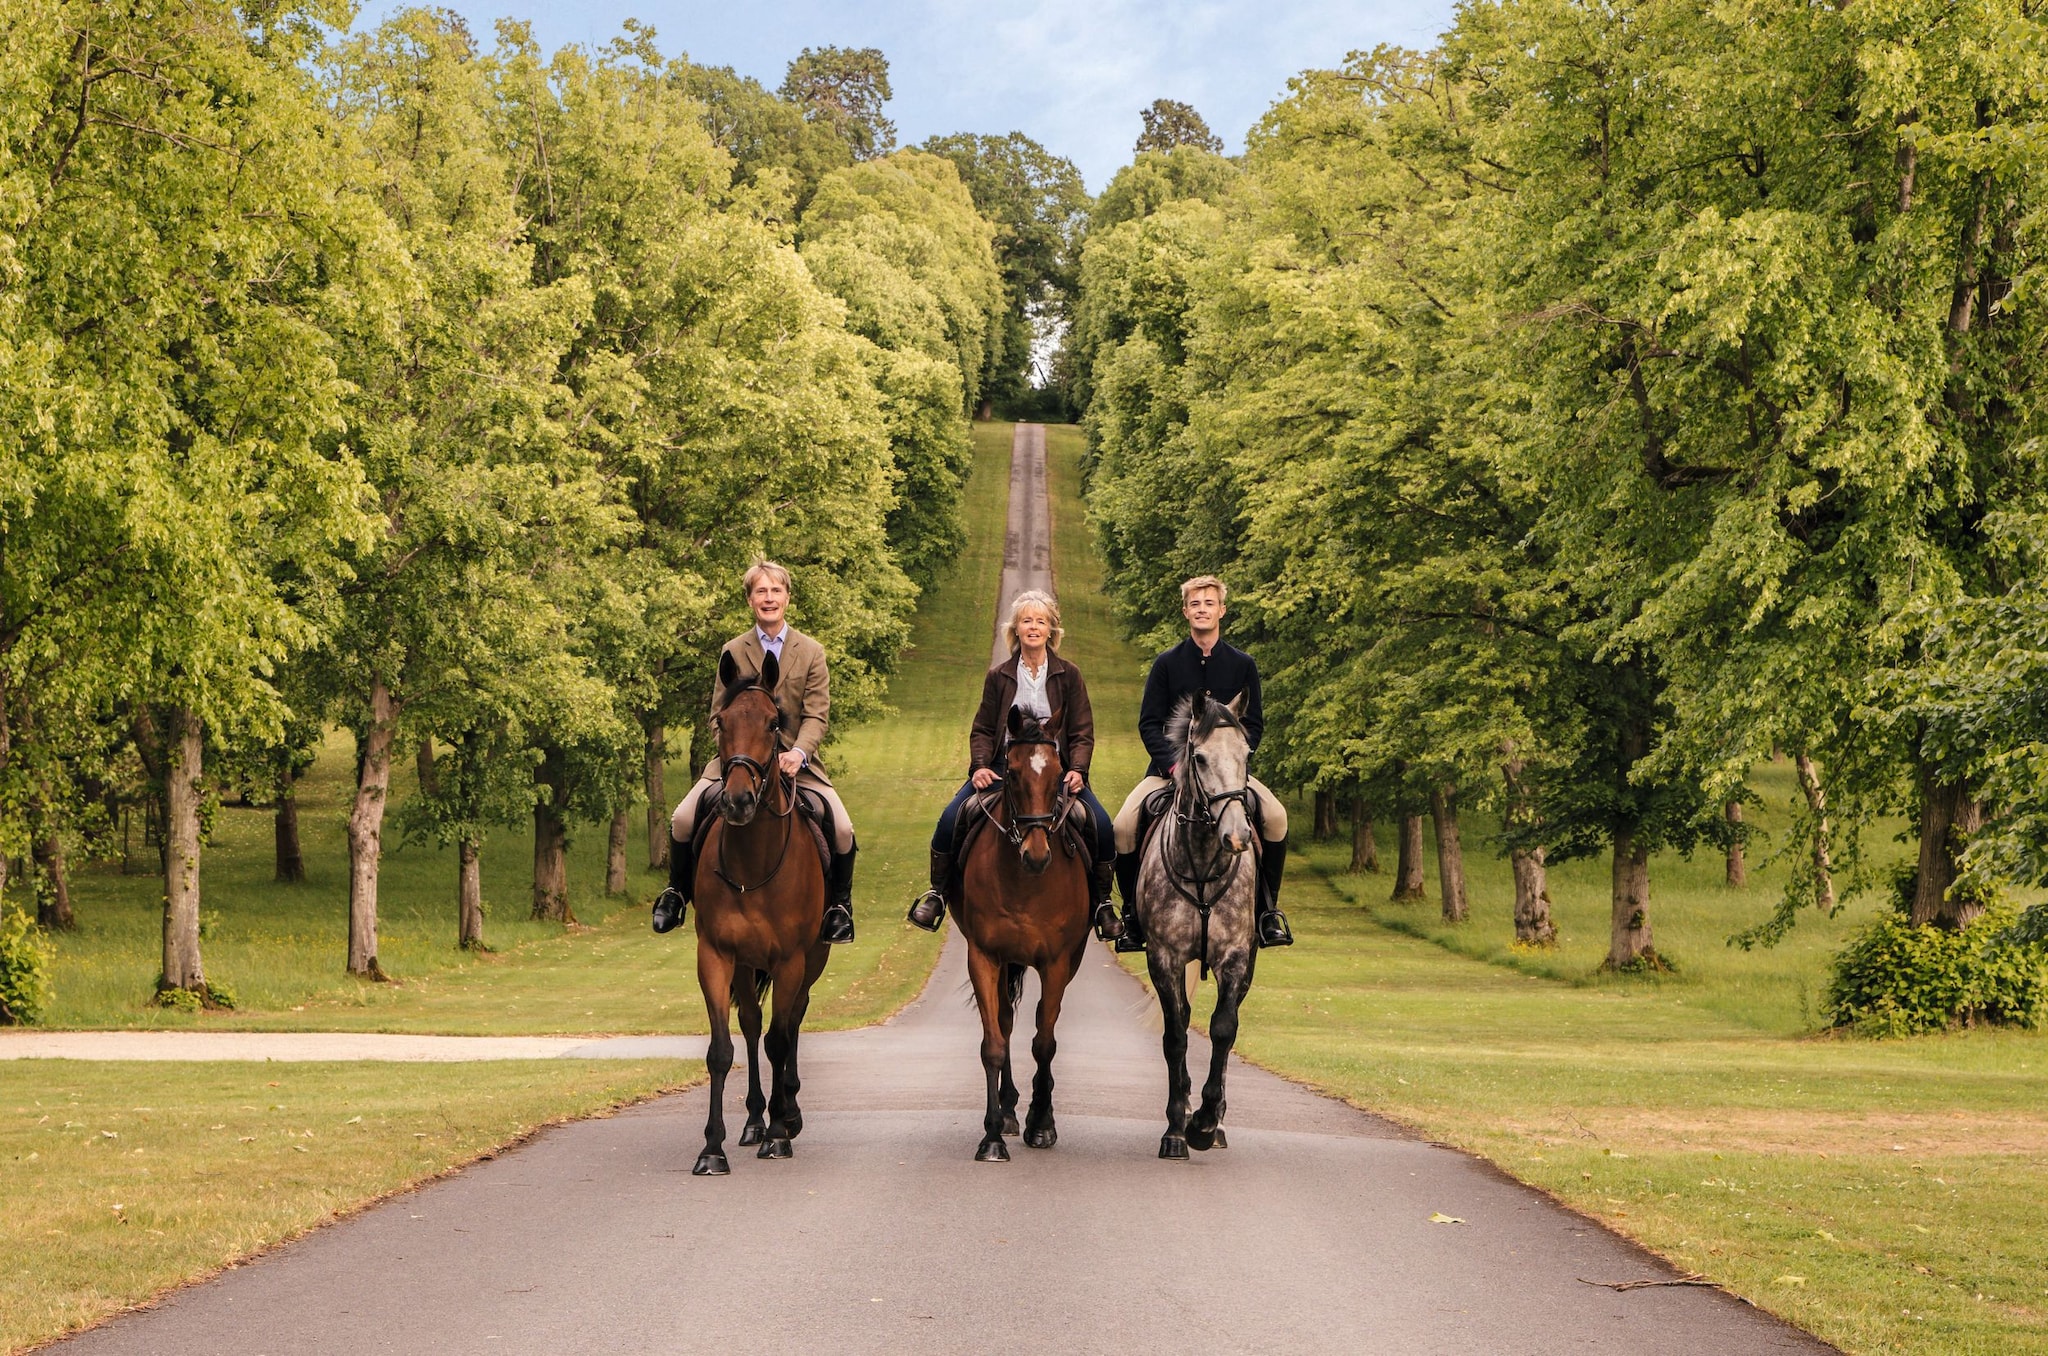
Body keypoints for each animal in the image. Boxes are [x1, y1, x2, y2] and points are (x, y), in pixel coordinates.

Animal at [690, 648, 831, 1176]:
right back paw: (754, 1119)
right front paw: (712, 1148)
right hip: (746, 965)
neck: (753, 862)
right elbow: (722, 1049)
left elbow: (780, 1039)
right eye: (721, 721)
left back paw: (786, 1112)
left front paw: (779, 1134)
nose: (737, 801)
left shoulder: (790, 960)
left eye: (774, 724)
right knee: (752, 1023)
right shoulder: (715, 955)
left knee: (791, 1022)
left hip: (812, 960)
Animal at [952, 705, 1094, 1162]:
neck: (1023, 881)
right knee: (1006, 1020)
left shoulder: (1057, 962)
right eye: (1010, 773)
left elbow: (1044, 1042)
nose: (1036, 855)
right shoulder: (983, 956)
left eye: (1059, 773)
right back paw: (1010, 1111)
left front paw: (1043, 1123)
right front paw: (992, 1137)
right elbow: (993, 1043)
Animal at [1135, 691, 1258, 1161]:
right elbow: (1176, 1034)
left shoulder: (1236, 958)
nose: (1237, 836)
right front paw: (1176, 1128)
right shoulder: (1164, 958)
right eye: (1200, 758)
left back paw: (1215, 1122)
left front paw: (1205, 1123)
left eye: (1246, 753)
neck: (1204, 860)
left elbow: (1224, 1028)